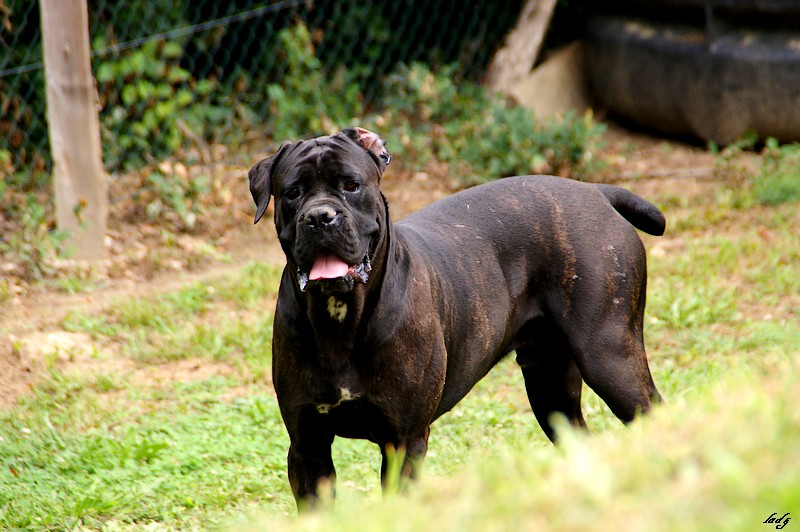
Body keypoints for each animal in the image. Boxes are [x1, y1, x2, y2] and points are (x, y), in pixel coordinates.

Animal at [248, 127, 664, 510]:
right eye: (292, 192)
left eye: (350, 184)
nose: (320, 216)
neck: (339, 319)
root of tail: (596, 191)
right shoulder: (308, 446)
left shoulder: (404, 441)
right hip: (550, 386)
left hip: (610, 358)